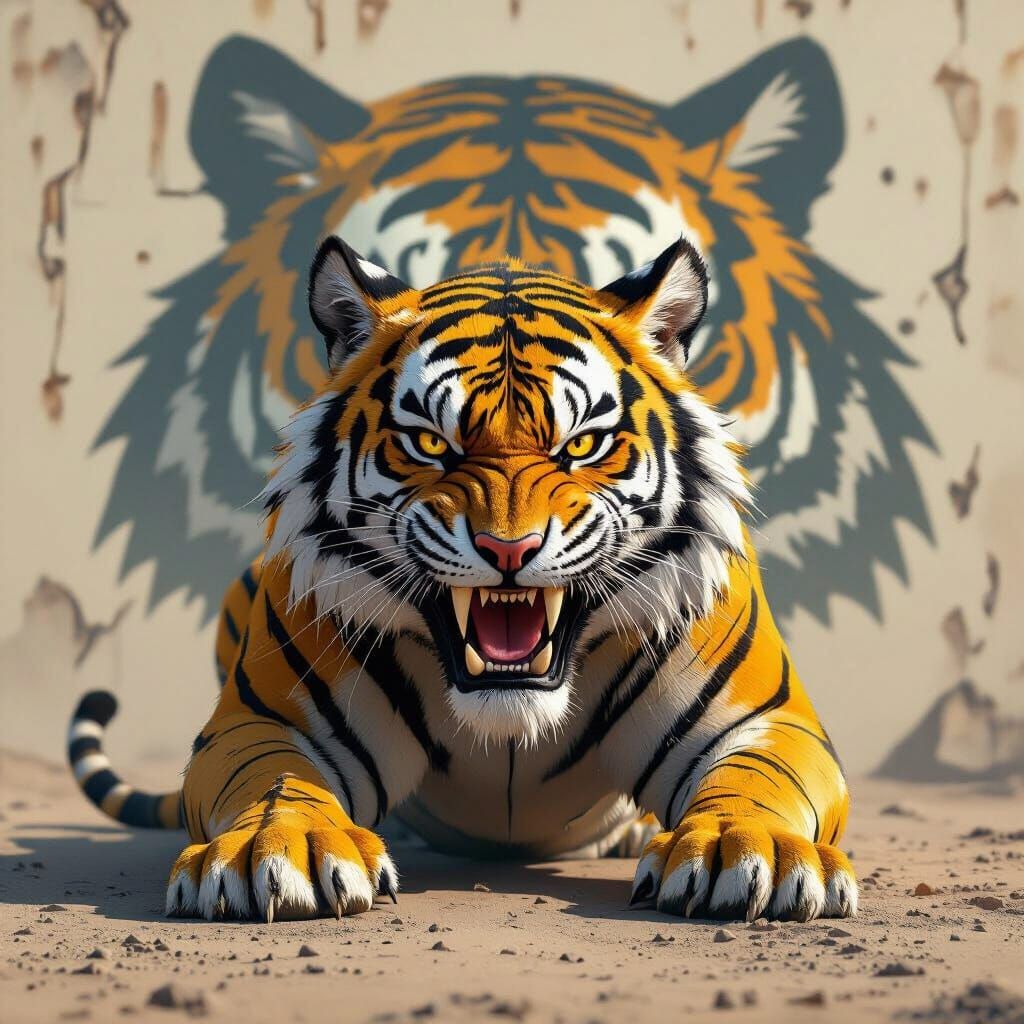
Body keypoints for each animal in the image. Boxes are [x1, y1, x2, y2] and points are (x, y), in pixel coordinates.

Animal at [69, 232, 857, 923]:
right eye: (429, 443)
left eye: (581, 446)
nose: (509, 548)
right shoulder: (269, 720)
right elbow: (274, 784)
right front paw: (277, 850)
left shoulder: (763, 722)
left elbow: (755, 786)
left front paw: (749, 850)